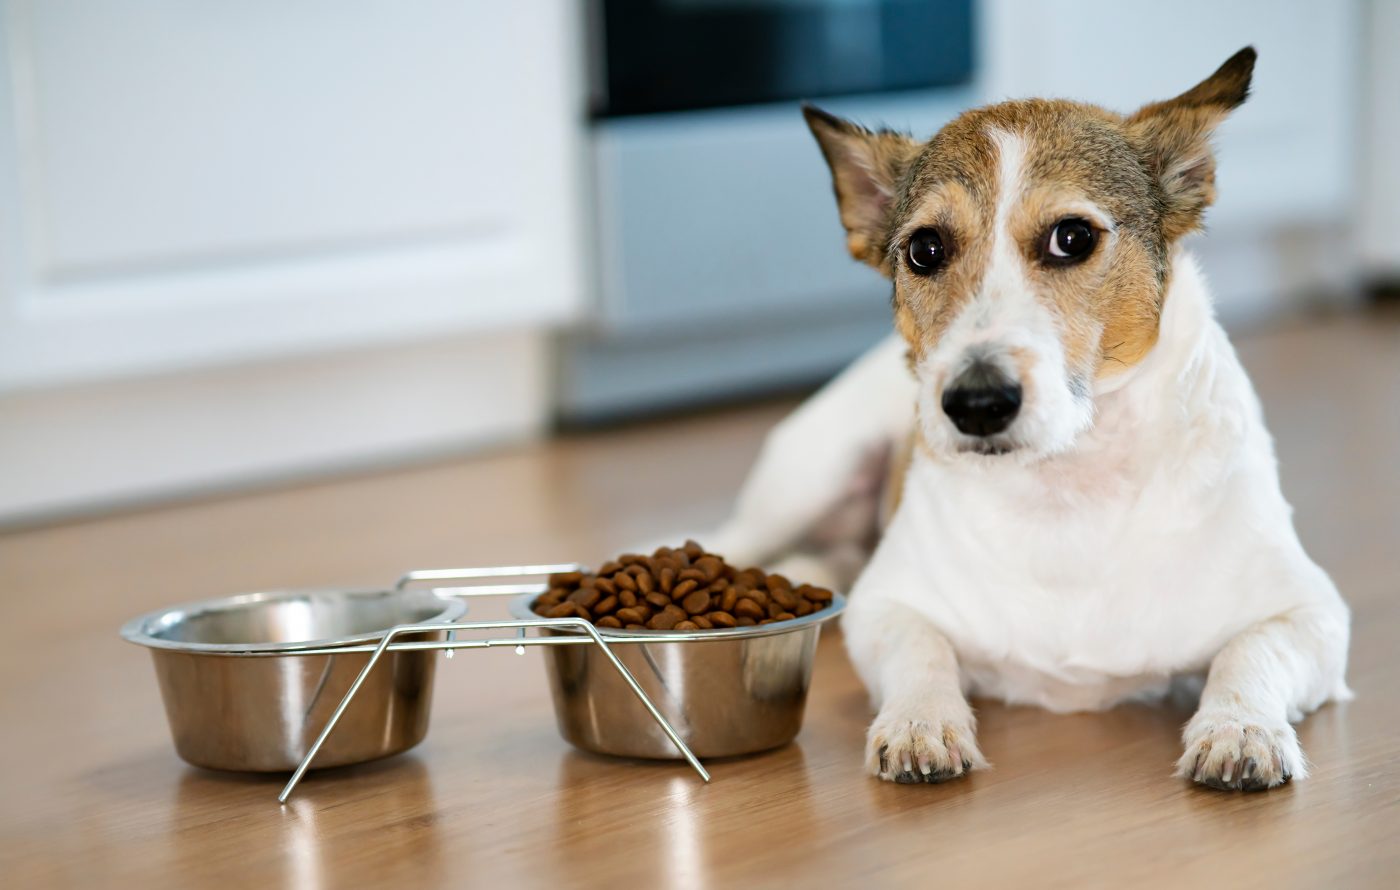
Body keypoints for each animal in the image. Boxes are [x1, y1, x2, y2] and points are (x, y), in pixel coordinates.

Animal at [705, 46, 1349, 794]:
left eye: (1072, 237)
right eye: (924, 249)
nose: (976, 403)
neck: (1066, 484)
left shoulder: (1314, 615)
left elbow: (1251, 652)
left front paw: (1239, 728)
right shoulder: (885, 606)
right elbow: (921, 651)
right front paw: (921, 720)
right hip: (811, 476)